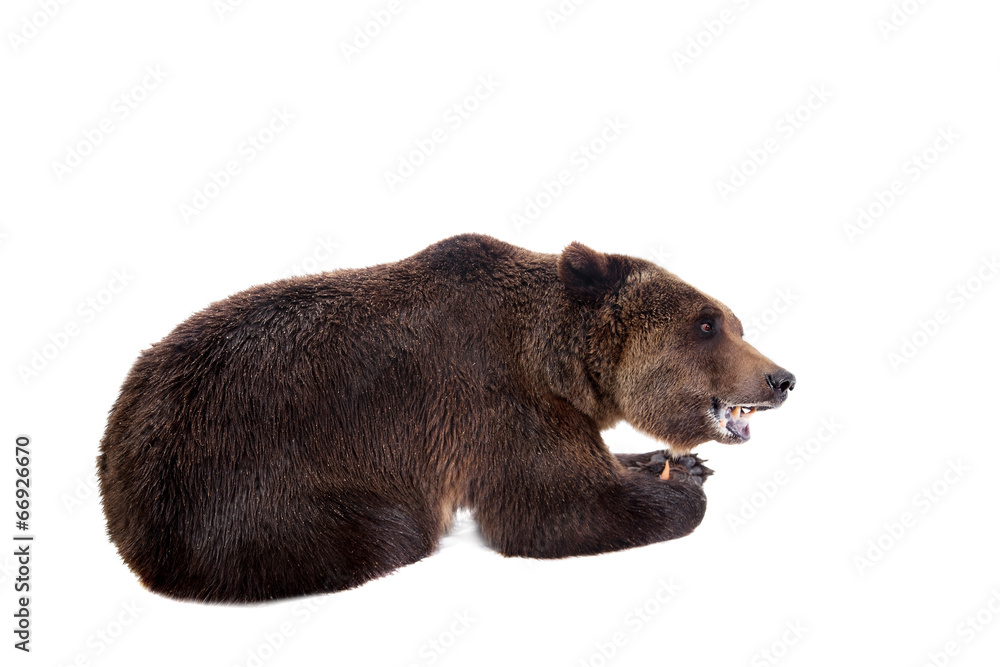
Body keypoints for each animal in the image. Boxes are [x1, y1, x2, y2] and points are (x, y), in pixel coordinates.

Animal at [97, 234, 795, 603]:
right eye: (706, 324)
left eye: (733, 323)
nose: (782, 378)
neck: (556, 359)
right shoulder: (496, 400)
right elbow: (553, 508)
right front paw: (681, 495)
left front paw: (674, 464)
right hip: (241, 483)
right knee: (385, 533)